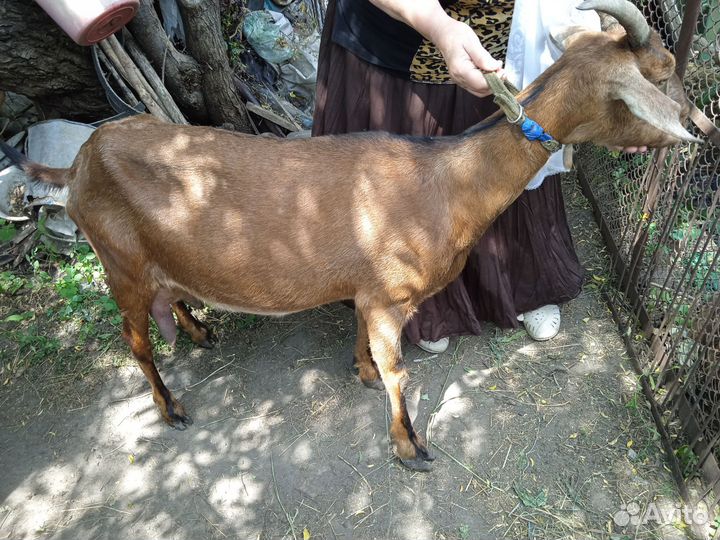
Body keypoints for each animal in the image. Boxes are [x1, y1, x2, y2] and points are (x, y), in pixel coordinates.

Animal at [0, 0, 700, 471]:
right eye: (661, 70)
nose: (702, 123)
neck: (448, 182)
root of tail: (78, 163)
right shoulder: (392, 296)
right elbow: (399, 371)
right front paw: (409, 445)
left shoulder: (370, 293)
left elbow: (365, 341)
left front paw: (359, 372)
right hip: (117, 259)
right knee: (136, 340)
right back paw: (171, 408)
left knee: (166, 297)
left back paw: (199, 330)